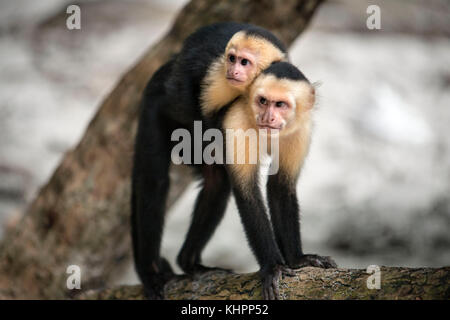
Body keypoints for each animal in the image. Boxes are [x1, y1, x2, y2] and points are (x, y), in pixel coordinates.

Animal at [130, 22, 334, 300]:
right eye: (262, 101)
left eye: (280, 105)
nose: (267, 118)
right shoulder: (234, 117)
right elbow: (247, 193)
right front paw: (272, 266)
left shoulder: (300, 130)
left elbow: (280, 187)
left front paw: (297, 259)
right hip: (156, 103)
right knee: (155, 182)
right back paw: (152, 274)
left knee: (216, 185)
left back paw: (190, 263)